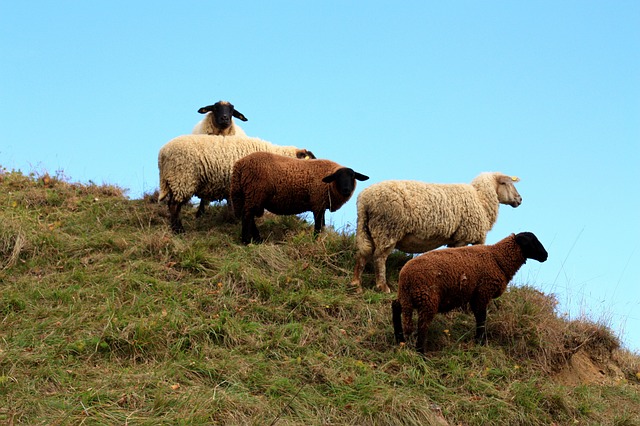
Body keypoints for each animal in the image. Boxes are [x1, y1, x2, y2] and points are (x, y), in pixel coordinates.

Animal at [159, 135, 316, 233]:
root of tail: (162, 154)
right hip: (182, 178)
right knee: (174, 205)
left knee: (172, 204)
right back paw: (179, 230)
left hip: (174, 180)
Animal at [231, 151, 370, 245]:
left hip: (249, 195)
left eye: (353, 176)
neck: (329, 184)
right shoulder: (317, 203)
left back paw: (258, 239)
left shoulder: (322, 204)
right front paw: (315, 240)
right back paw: (246, 241)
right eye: (337, 177)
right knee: (247, 215)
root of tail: (239, 164)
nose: (346, 190)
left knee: (249, 216)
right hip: (255, 192)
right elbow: (318, 226)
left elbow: (323, 224)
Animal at [352, 171, 524, 294]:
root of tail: (365, 199)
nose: (520, 199)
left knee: (363, 253)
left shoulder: (456, 239)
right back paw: (383, 287)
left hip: (366, 228)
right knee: (379, 258)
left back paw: (356, 285)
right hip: (388, 228)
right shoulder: (464, 237)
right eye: (504, 183)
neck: (480, 198)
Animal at [392, 231, 548, 354]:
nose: (545, 255)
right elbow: (481, 318)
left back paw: (400, 339)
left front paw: (479, 340)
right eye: (532, 241)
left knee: (396, 307)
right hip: (427, 298)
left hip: (407, 297)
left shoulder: (475, 295)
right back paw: (421, 353)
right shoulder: (483, 292)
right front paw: (480, 342)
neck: (497, 258)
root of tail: (405, 276)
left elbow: (479, 317)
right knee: (422, 325)